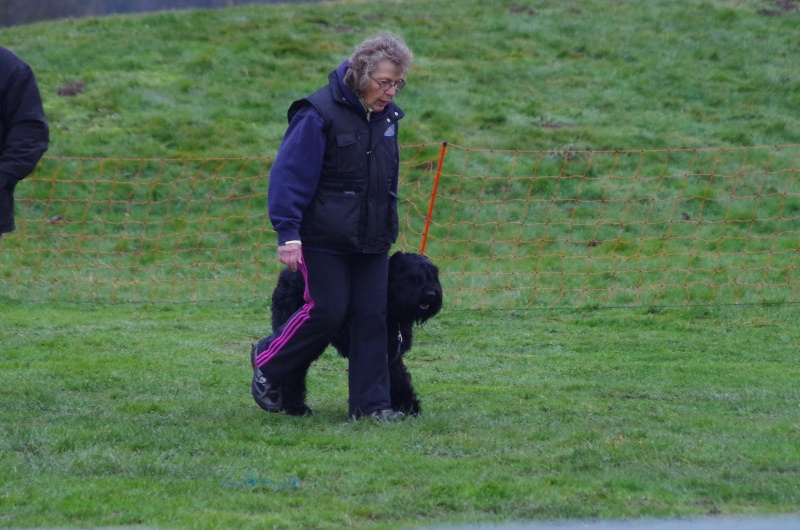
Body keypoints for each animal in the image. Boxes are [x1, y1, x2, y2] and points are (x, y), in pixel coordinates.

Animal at [264, 250, 444, 414]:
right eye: (412, 277)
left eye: (433, 276)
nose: (430, 294)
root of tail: (287, 274)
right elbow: (390, 376)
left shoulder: (393, 350)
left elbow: (399, 376)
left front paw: (407, 405)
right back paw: (295, 407)